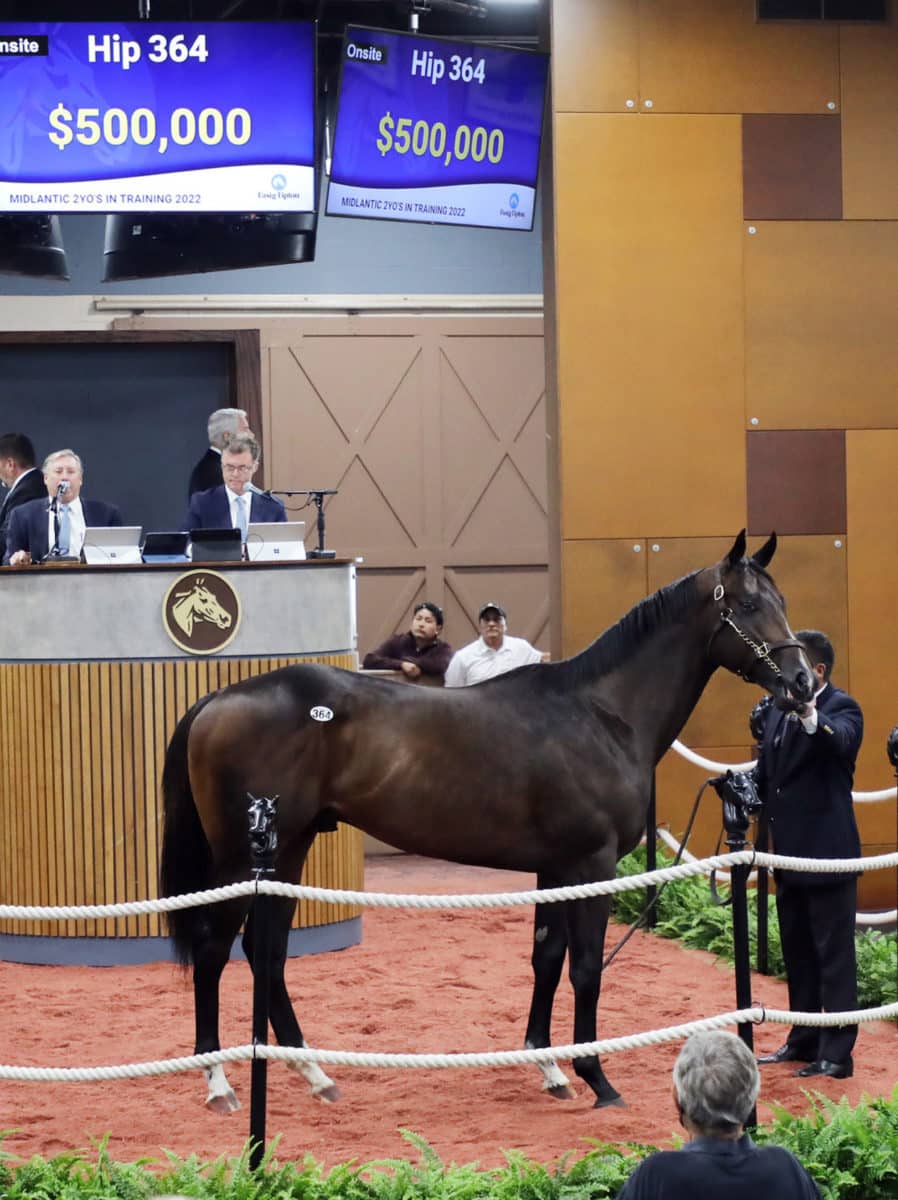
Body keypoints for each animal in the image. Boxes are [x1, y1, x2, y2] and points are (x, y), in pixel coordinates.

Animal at [160, 530, 811, 1108]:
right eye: (748, 606)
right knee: (216, 950)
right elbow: (587, 968)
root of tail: (215, 699)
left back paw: (314, 1073)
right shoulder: (593, 865)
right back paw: (218, 1080)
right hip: (240, 858)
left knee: (266, 951)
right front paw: (597, 1078)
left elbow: (547, 958)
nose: (803, 683)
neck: (601, 714)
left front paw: (550, 1068)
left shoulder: (557, 869)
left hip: (286, 848)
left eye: (783, 601)